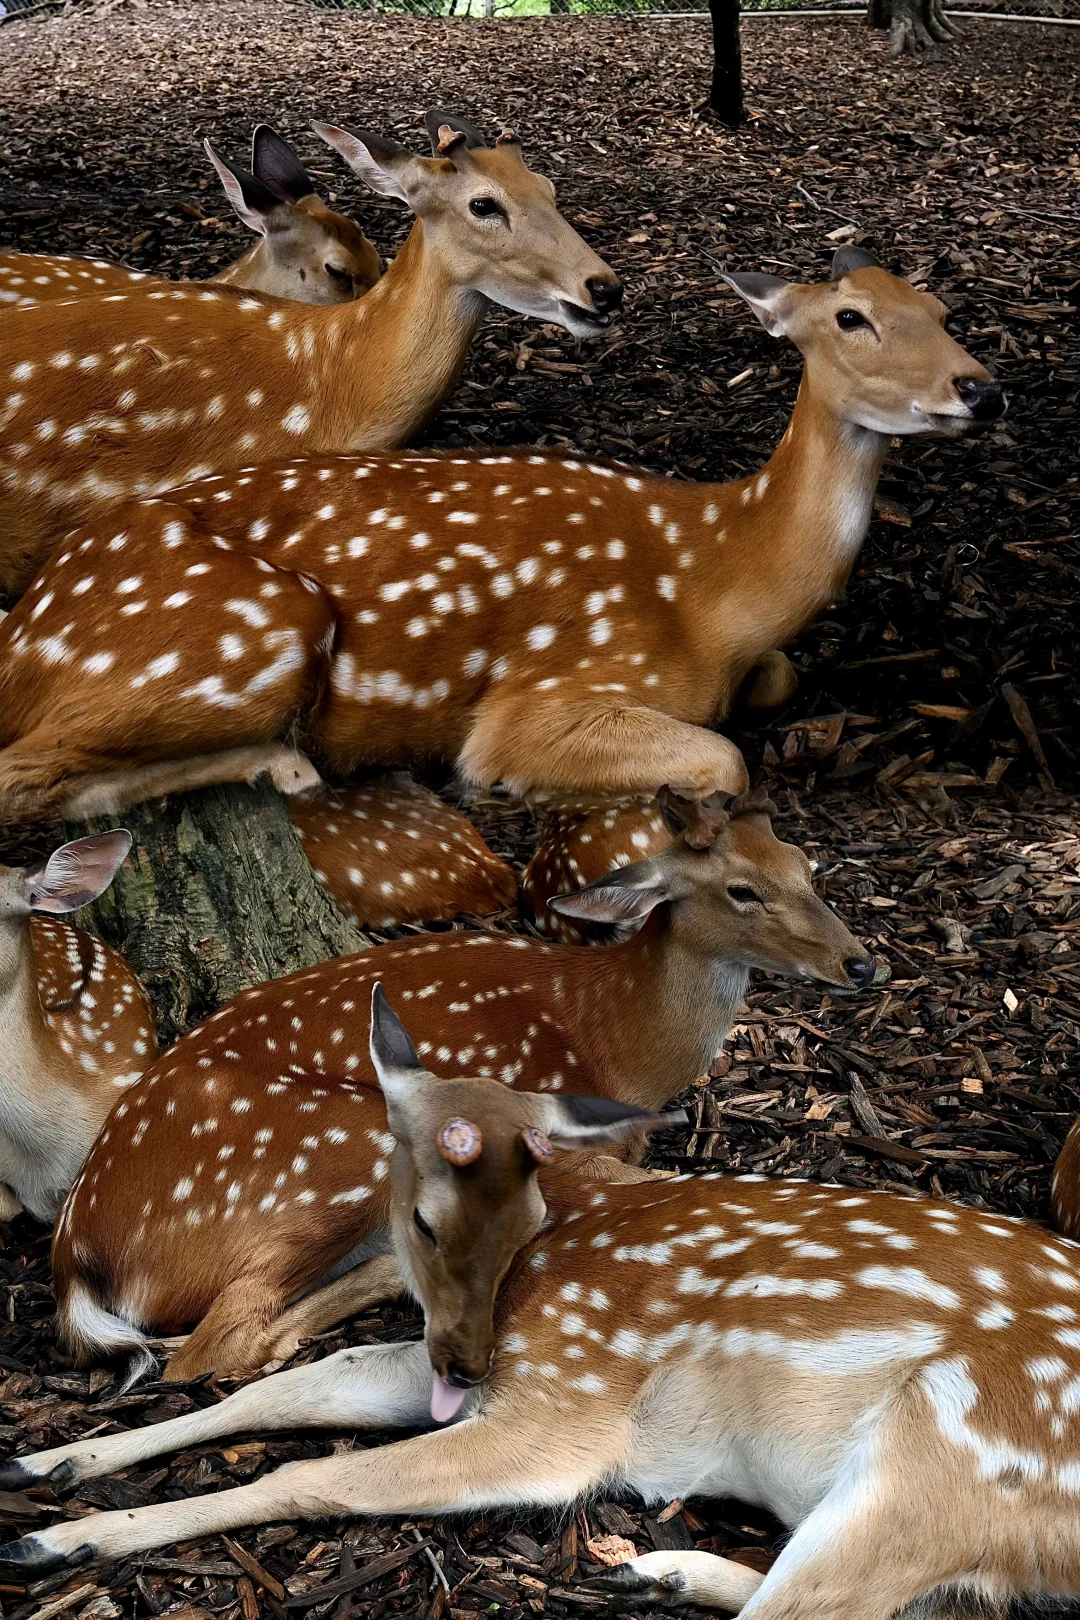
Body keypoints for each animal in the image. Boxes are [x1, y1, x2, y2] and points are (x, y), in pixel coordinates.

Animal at [0, 249, 999, 821]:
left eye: (944, 312)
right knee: (23, 780)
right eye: (850, 318)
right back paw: (279, 765)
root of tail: (23, 639)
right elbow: (721, 760)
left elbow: (776, 685)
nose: (979, 387)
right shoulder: (549, 695)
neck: (713, 586)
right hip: (252, 632)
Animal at [5, 987, 1080, 1620]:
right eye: (421, 1218)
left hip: (938, 1465)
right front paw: (51, 1464)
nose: (469, 1363)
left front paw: (59, 1536)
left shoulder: (567, 1404)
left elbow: (310, 1476)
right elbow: (286, 1390)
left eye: (523, 1214)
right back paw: (655, 1567)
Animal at [37, 790, 871, 1383]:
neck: (613, 1039)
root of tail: (76, 1253)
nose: (862, 962)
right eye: (742, 890)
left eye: (806, 866)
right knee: (208, 1348)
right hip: (340, 1143)